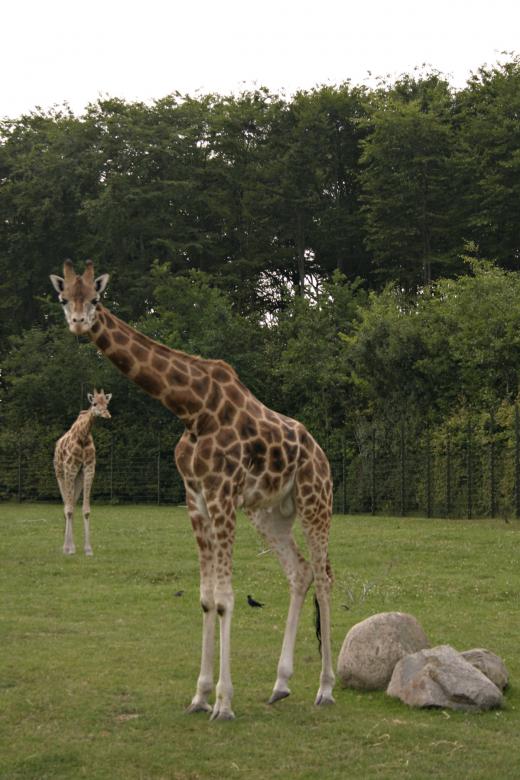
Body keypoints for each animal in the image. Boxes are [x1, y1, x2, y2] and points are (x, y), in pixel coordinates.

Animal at [54, 388, 112, 556]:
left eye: (106, 403)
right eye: (94, 403)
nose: (107, 414)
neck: (84, 435)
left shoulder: (88, 468)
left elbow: (85, 510)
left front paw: (88, 549)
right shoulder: (70, 468)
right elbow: (69, 509)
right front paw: (69, 549)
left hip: (77, 477)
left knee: (71, 502)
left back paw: (70, 546)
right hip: (60, 474)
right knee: (66, 506)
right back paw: (67, 547)